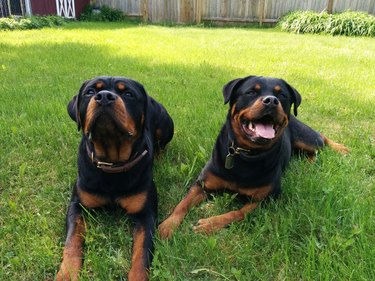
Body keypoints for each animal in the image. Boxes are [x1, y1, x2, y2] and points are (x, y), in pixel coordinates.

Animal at [57, 76, 175, 280]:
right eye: (90, 92)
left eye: (128, 94)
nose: (104, 96)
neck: (113, 164)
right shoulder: (77, 206)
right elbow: (72, 241)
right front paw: (67, 273)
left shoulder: (146, 214)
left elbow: (142, 252)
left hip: (165, 125)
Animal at [159, 75, 350, 237]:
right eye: (251, 92)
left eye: (282, 95)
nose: (271, 100)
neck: (245, 154)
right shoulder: (202, 184)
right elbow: (182, 204)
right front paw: (166, 226)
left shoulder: (265, 199)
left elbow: (237, 213)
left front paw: (210, 224)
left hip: (306, 138)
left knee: (321, 139)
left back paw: (340, 149)